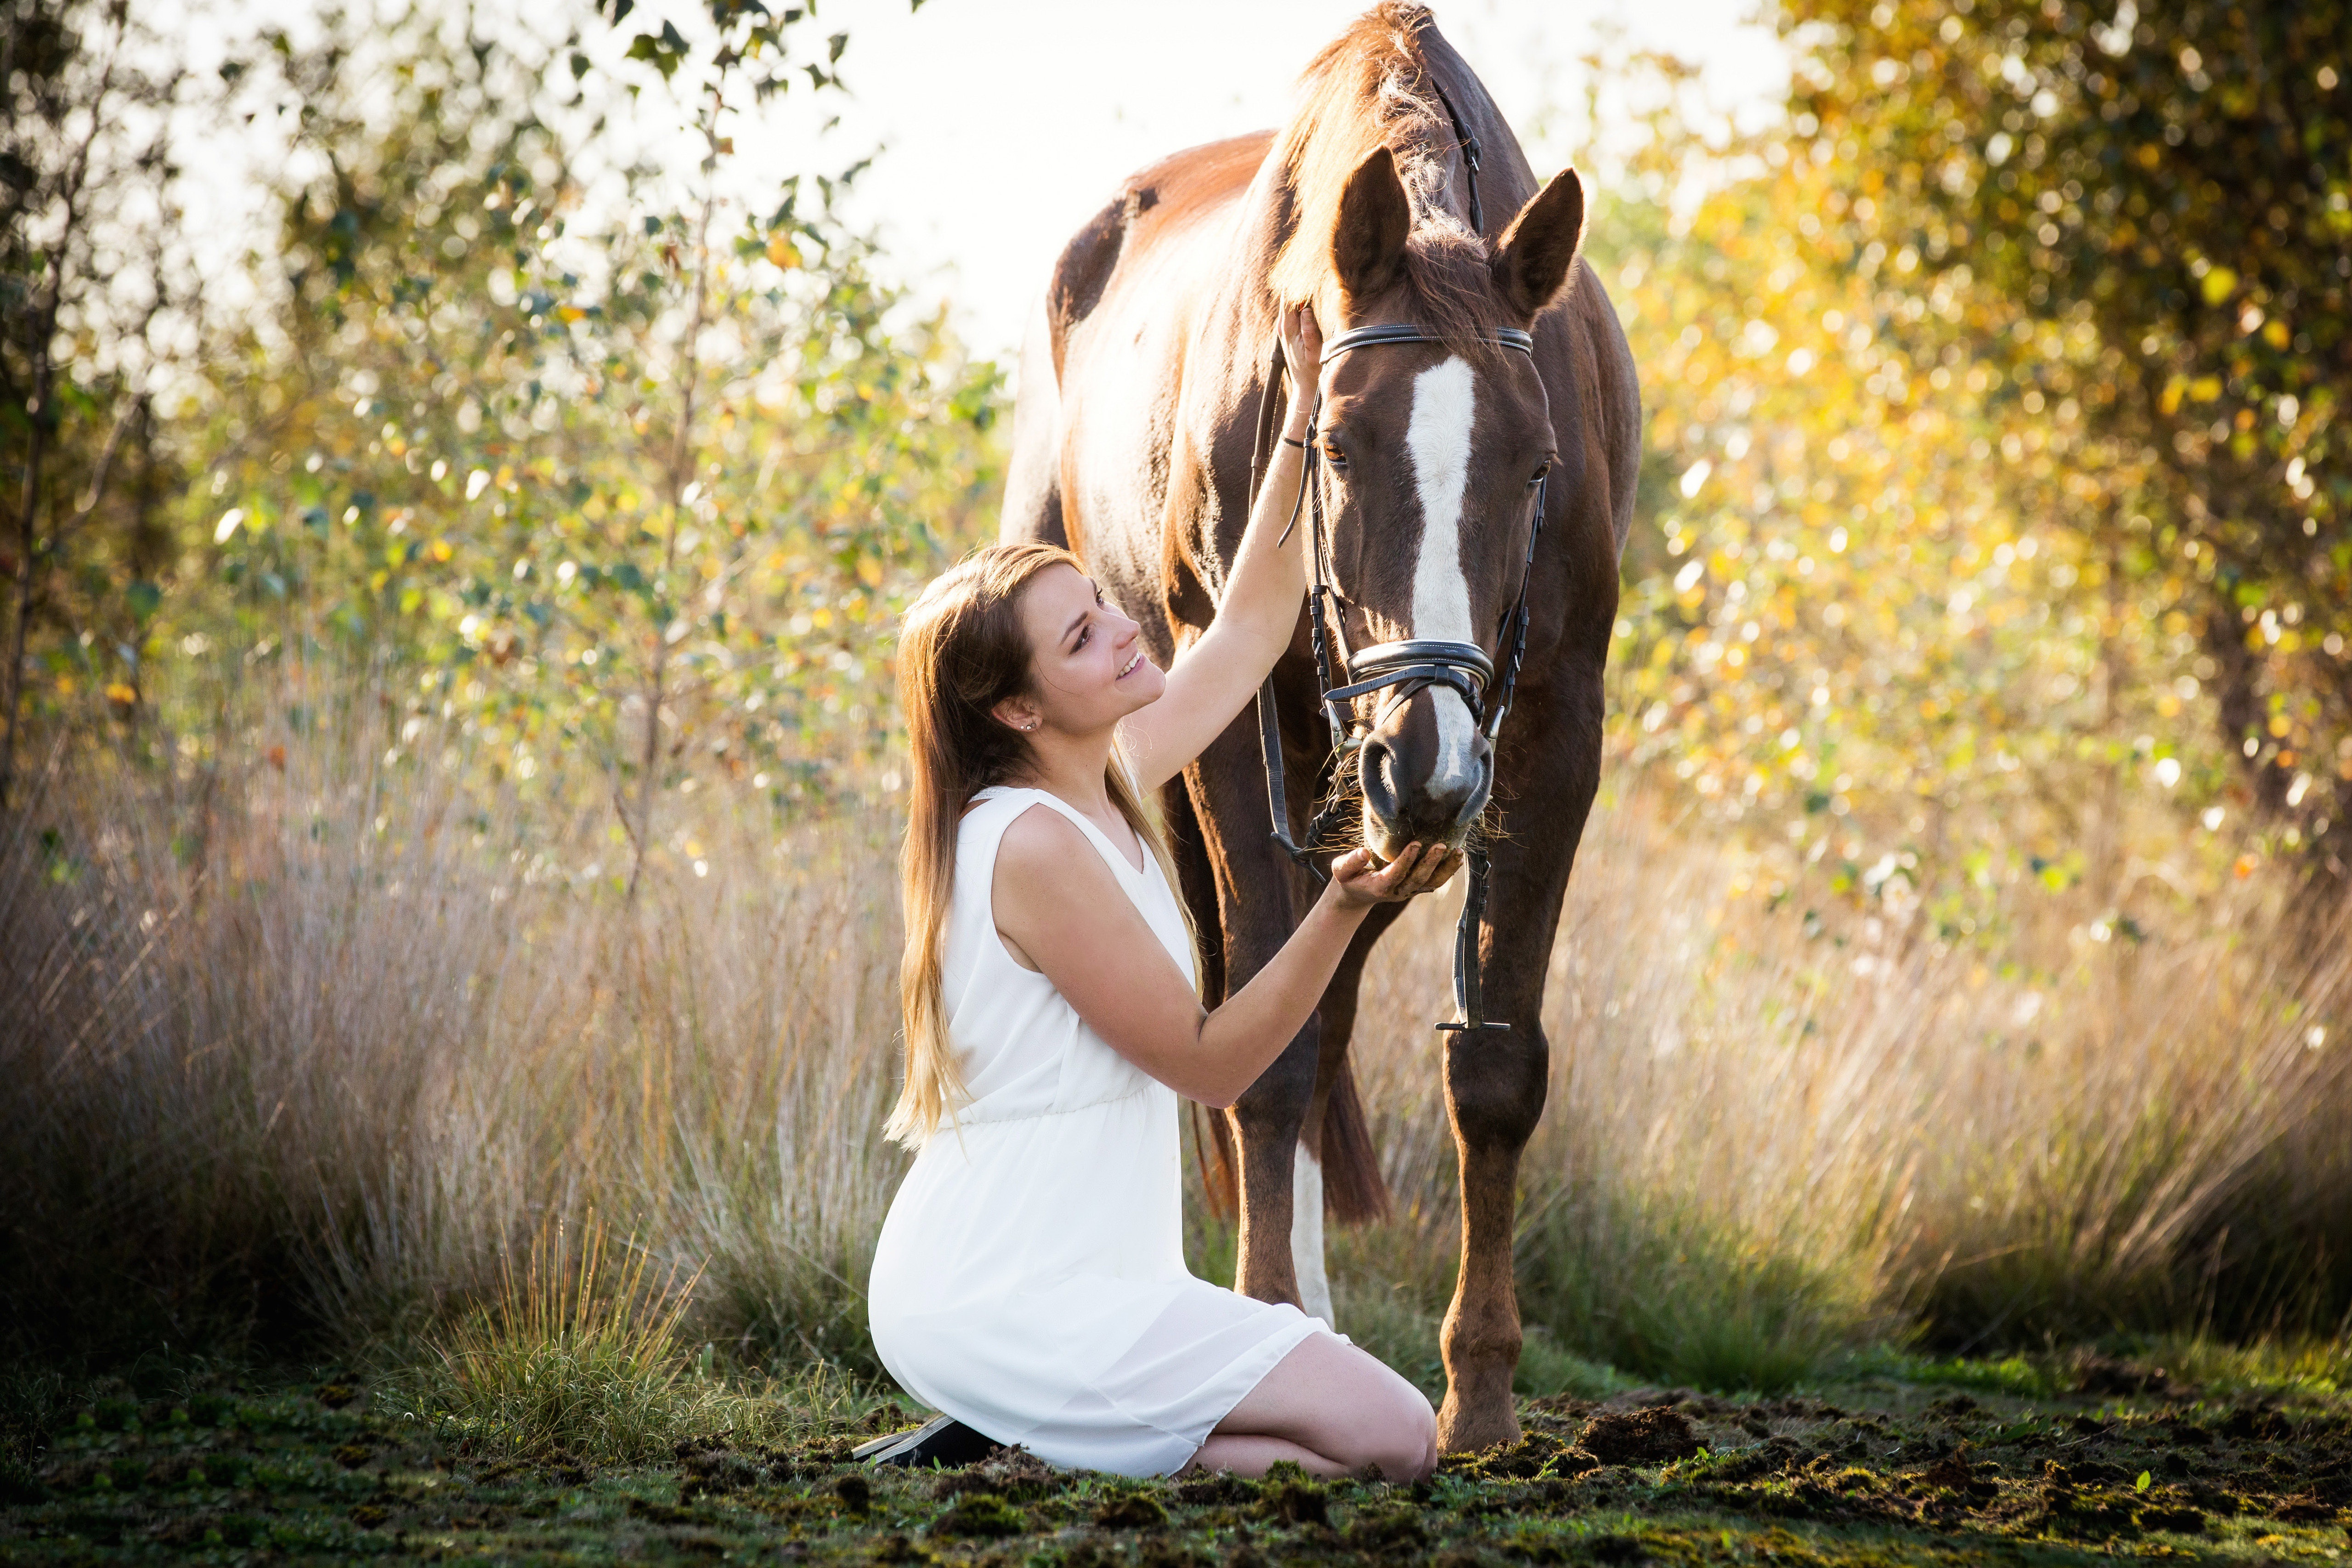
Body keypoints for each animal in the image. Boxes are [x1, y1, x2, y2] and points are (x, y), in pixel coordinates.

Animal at [1006, 3, 1637, 1448]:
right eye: (1335, 448)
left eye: (1536, 462)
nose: (1433, 756)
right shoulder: (1231, 720)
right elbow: (1266, 1053)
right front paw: (1268, 1325)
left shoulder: (1549, 732)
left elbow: (1492, 1062)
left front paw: (1480, 1395)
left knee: (1329, 997)